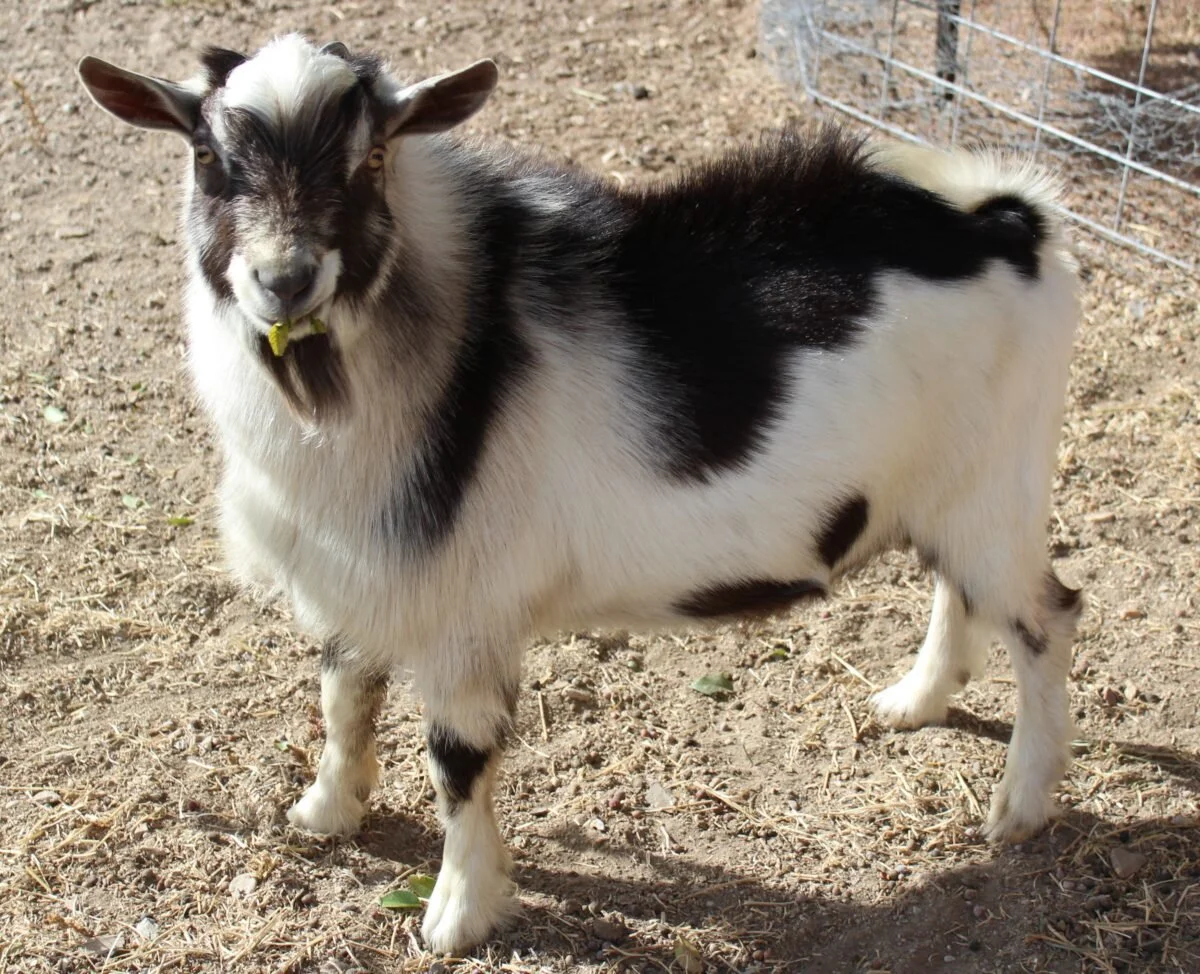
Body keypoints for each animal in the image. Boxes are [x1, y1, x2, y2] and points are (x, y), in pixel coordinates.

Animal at [77, 34, 1082, 954]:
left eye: (372, 157)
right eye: (207, 156)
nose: (285, 280)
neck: (448, 345)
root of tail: (1009, 222)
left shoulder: (464, 614)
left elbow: (456, 761)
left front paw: (457, 914)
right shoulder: (360, 576)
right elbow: (343, 697)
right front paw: (325, 812)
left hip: (999, 489)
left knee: (1047, 617)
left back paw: (1019, 807)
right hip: (951, 494)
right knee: (960, 591)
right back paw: (916, 701)